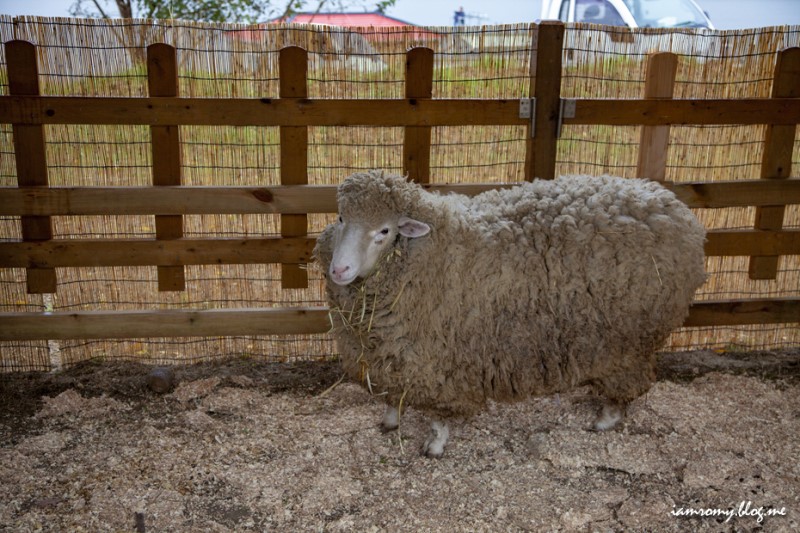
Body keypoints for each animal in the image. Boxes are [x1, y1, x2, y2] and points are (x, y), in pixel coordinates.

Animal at [312, 170, 708, 458]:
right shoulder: (389, 354)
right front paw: (391, 420)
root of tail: (676, 208)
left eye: (384, 230)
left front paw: (435, 444)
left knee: (625, 384)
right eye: (341, 217)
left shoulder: (440, 363)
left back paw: (606, 419)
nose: (339, 270)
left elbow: (440, 415)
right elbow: (392, 394)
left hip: (628, 342)